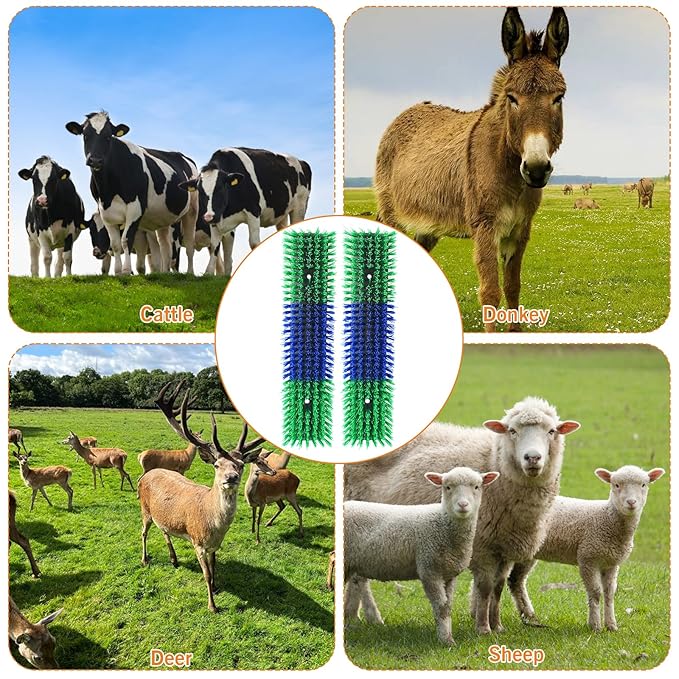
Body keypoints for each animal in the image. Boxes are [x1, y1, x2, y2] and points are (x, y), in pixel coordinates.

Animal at [65, 111, 198, 276]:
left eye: (108, 136)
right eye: (85, 135)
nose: (95, 160)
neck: (109, 190)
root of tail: (181, 155)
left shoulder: (136, 209)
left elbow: (126, 240)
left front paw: (126, 270)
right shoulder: (105, 212)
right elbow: (115, 244)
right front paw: (117, 272)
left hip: (192, 210)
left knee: (189, 244)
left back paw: (190, 272)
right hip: (164, 217)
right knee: (165, 245)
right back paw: (164, 273)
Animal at [180, 147, 311, 276]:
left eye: (220, 188)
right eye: (200, 191)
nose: (208, 217)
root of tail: (301, 161)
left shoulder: (253, 211)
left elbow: (254, 243)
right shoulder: (216, 218)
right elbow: (215, 246)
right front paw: (210, 272)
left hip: (300, 207)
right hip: (281, 213)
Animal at [345, 467, 499, 645]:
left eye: (476, 487)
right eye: (447, 487)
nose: (463, 505)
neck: (442, 523)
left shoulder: (448, 574)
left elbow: (448, 606)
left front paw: (447, 635)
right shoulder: (429, 570)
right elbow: (441, 608)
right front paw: (446, 640)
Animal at [507, 465, 665, 632]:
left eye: (644, 485)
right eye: (616, 485)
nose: (631, 502)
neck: (607, 518)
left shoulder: (611, 563)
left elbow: (610, 593)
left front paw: (611, 625)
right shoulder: (588, 558)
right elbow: (595, 592)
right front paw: (595, 625)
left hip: (527, 552)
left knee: (516, 581)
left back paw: (529, 617)